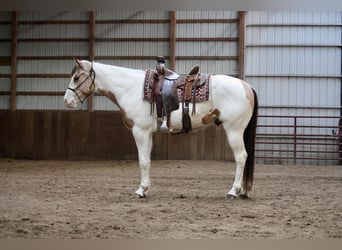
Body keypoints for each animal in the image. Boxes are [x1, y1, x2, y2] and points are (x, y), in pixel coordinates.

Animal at [64, 59, 258, 199]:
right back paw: (243, 191)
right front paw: (146, 189)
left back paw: (233, 191)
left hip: (234, 130)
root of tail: (247, 86)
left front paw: (140, 190)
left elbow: (142, 161)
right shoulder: (148, 133)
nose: (67, 101)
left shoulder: (140, 131)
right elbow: (147, 161)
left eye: (76, 78)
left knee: (241, 157)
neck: (132, 88)